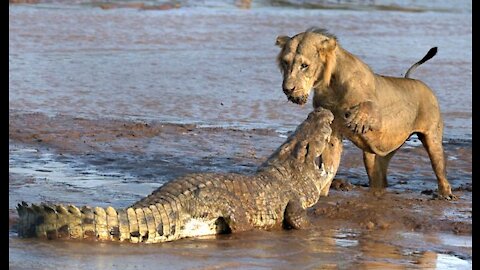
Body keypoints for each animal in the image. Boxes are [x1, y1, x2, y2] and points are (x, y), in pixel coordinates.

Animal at [276, 28, 456, 200]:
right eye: (285, 62)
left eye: (304, 65)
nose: (287, 89)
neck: (330, 84)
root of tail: (416, 81)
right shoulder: (332, 130)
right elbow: (329, 164)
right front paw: (322, 195)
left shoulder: (379, 114)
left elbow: (369, 106)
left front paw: (357, 120)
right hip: (376, 156)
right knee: (379, 176)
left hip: (432, 138)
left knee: (439, 167)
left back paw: (446, 194)